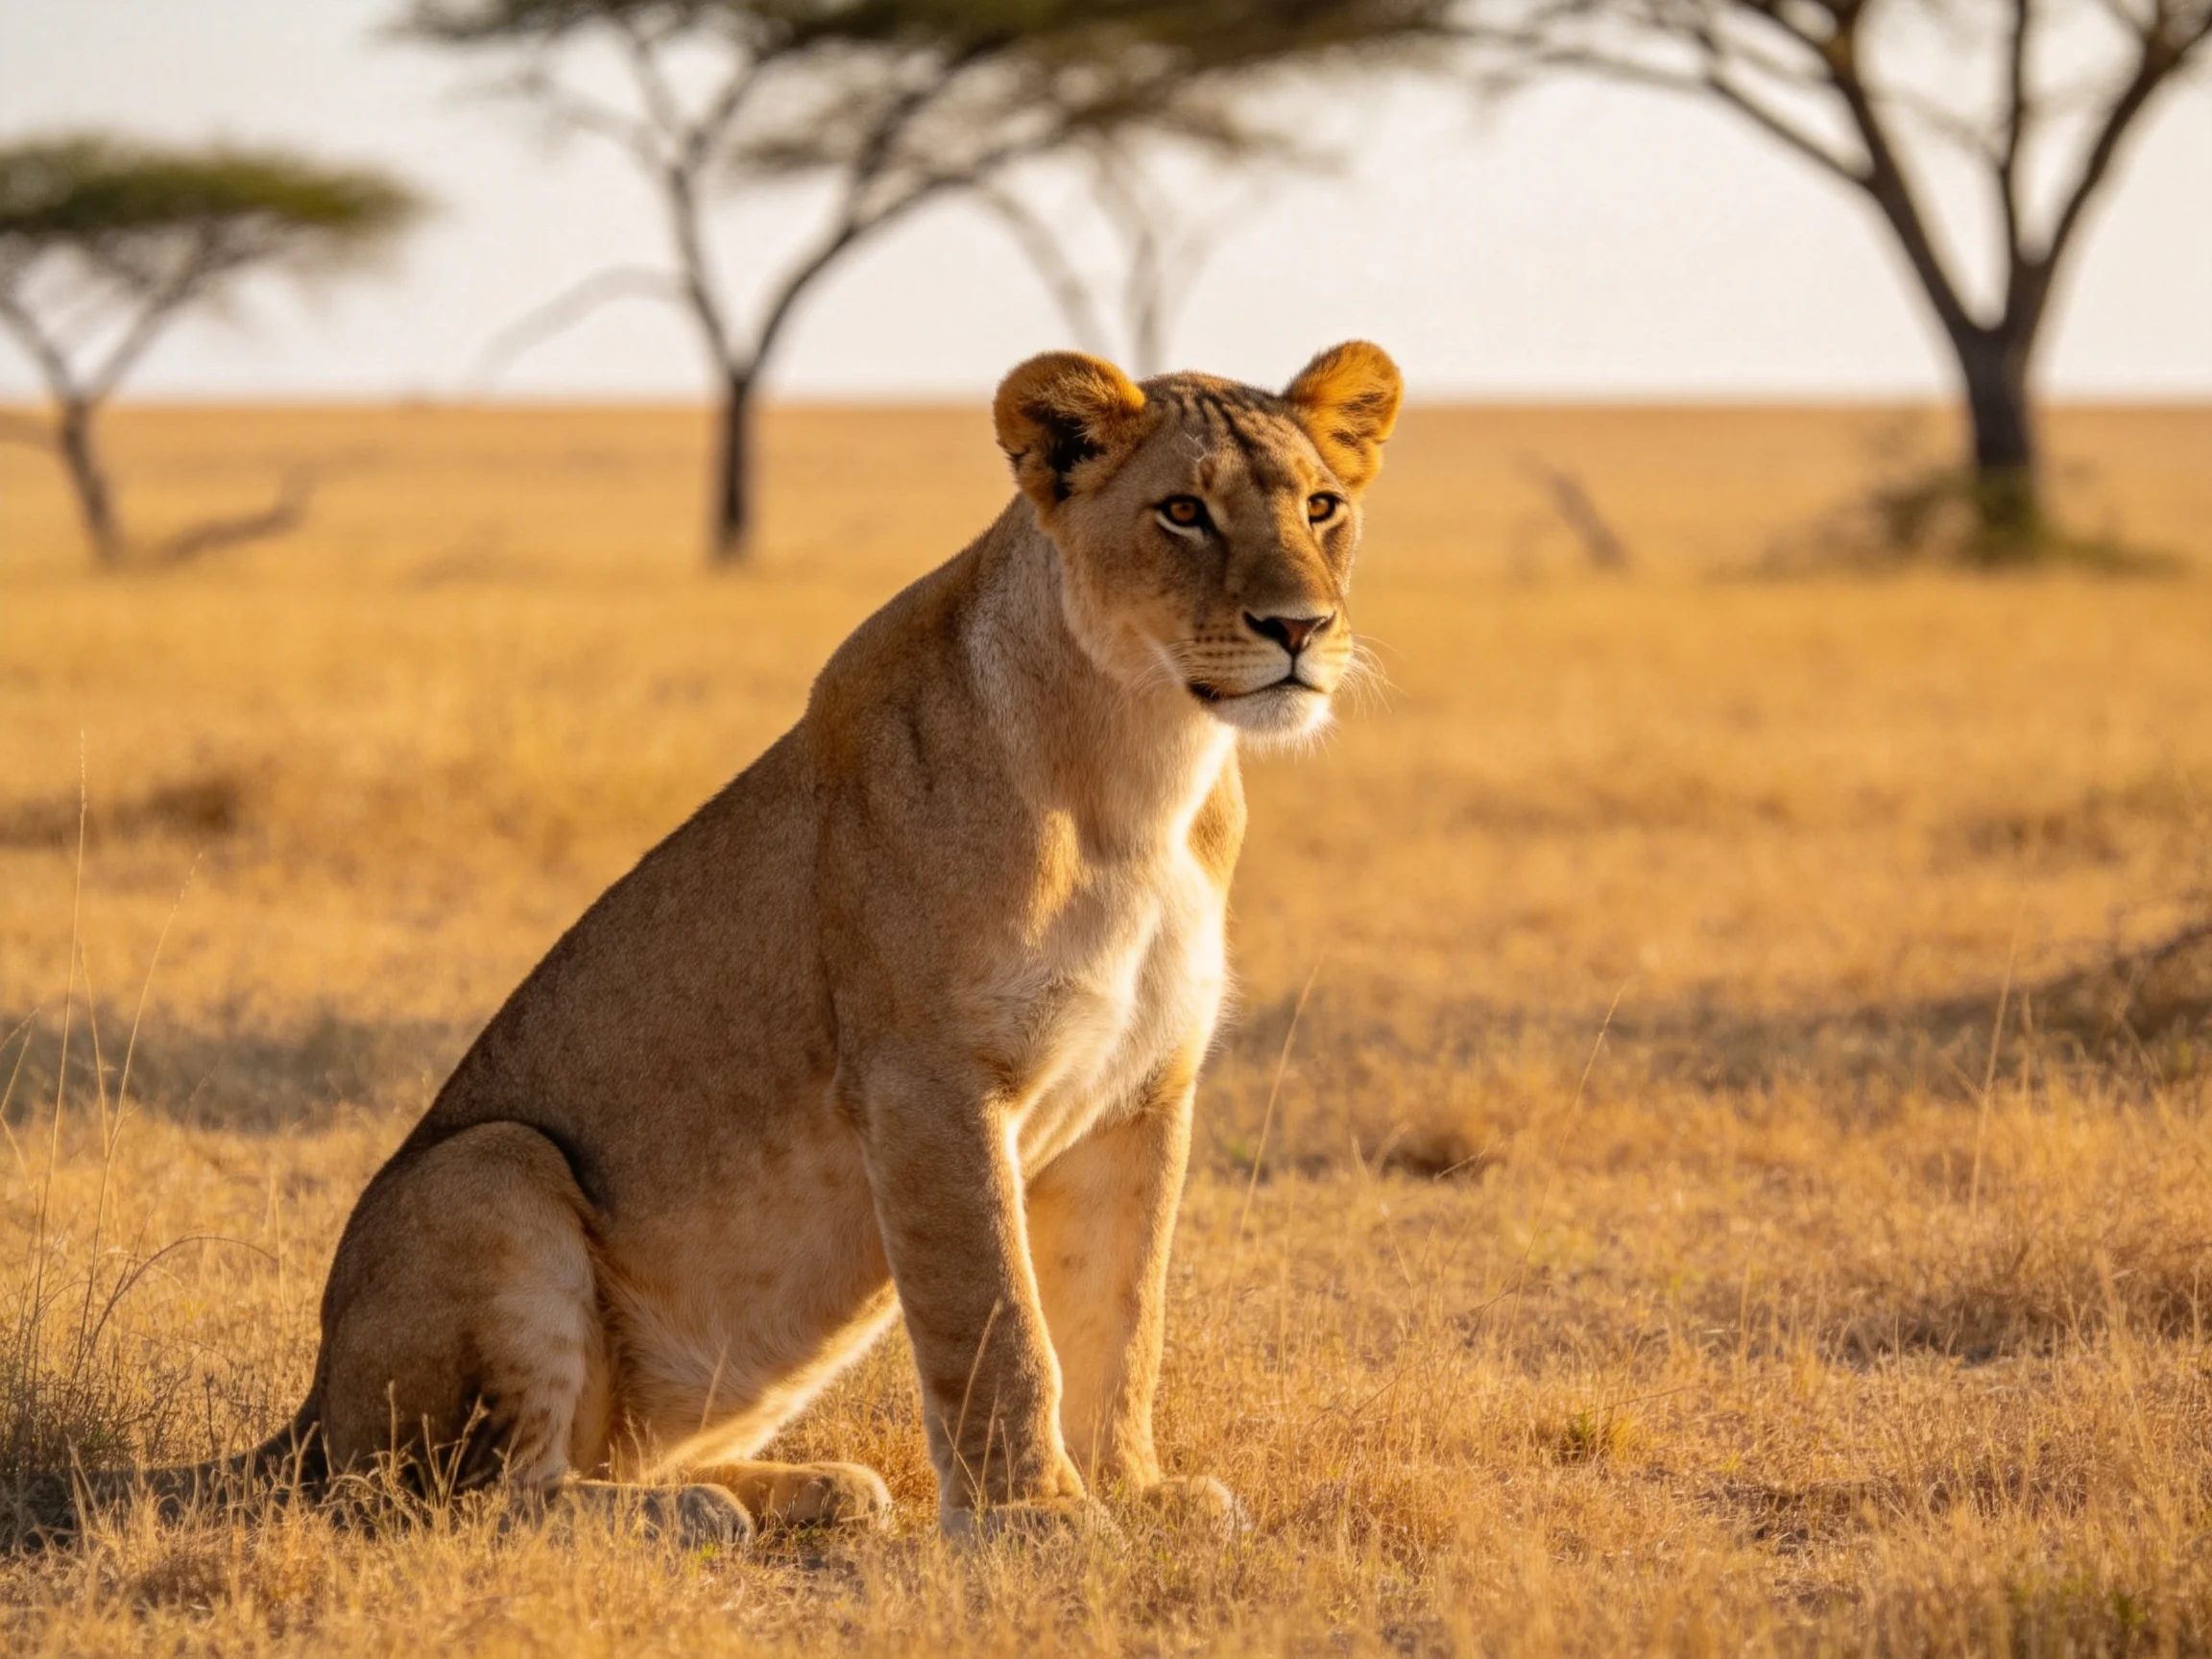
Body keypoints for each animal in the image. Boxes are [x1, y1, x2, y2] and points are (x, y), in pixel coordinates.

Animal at [14, 341, 1401, 1546]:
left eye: (1322, 506)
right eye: (1182, 512)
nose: (1299, 629)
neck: (1145, 762)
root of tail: (304, 1417)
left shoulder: (1143, 1094)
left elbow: (1123, 1318)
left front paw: (1137, 1493)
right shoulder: (929, 1079)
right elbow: (1002, 1321)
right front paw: (1036, 1519)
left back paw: (813, 1488)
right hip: (488, 1168)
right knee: (465, 1497)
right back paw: (692, 1516)